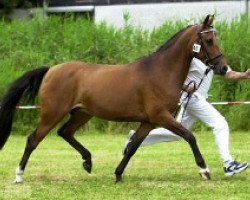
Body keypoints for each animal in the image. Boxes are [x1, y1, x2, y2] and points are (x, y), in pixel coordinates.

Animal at [0, 14, 228, 183]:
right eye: (209, 40)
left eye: (218, 38)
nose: (223, 68)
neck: (160, 71)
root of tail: (51, 70)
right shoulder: (161, 116)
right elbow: (189, 136)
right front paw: (205, 170)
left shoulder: (148, 121)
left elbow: (133, 147)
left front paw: (118, 174)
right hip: (52, 113)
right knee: (33, 139)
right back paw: (19, 176)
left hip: (82, 113)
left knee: (65, 132)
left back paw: (88, 161)